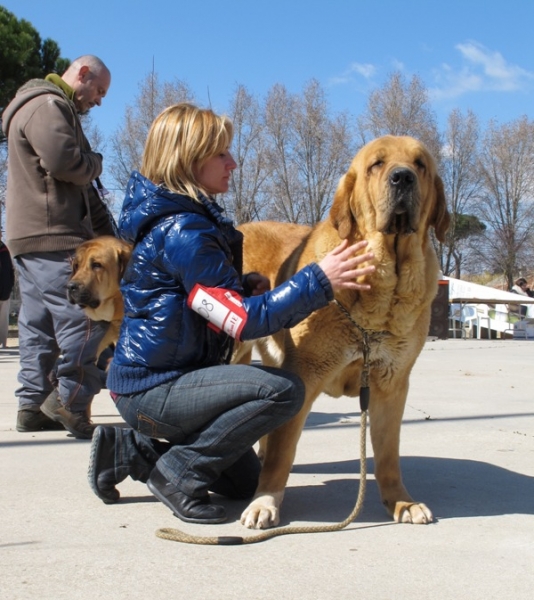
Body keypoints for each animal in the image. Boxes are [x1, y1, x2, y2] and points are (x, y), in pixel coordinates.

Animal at [237, 136, 450, 528]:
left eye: (420, 164)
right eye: (376, 164)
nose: (403, 177)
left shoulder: (391, 384)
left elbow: (388, 454)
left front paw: (402, 502)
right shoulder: (303, 376)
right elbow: (283, 452)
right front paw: (265, 502)